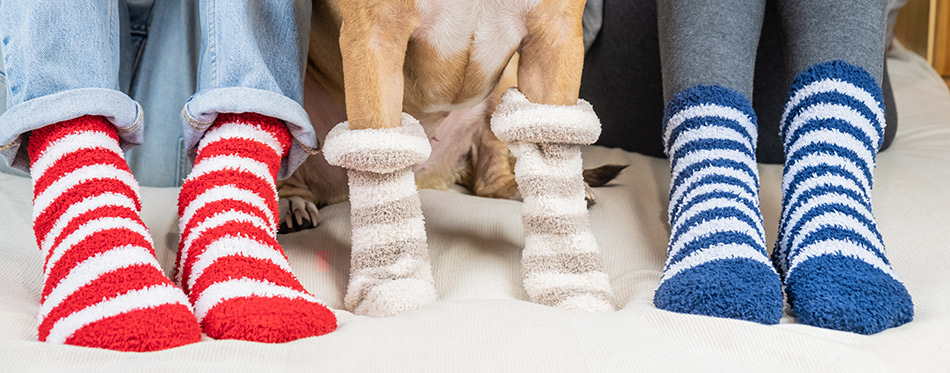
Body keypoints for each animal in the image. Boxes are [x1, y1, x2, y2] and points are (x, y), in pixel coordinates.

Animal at [278, 0, 616, 316]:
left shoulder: (555, 34)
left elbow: (550, 147)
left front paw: (571, 278)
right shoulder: (375, 36)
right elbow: (380, 162)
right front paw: (390, 285)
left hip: (509, 78)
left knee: (491, 180)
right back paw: (291, 202)